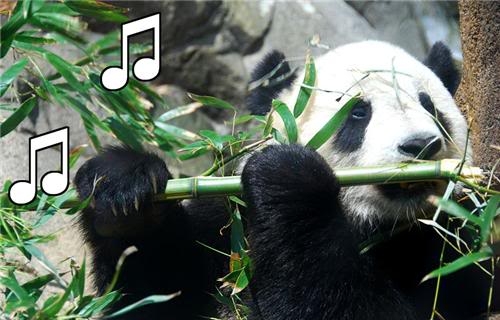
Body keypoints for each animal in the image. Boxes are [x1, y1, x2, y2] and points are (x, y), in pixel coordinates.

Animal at [74, 40, 496, 320]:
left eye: (431, 108)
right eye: (358, 113)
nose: (421, 145)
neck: (375, 227)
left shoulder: (461, 251)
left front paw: (290, 179)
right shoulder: (229, 231)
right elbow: (161, 292)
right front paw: (122, 193)